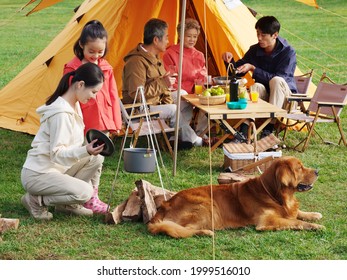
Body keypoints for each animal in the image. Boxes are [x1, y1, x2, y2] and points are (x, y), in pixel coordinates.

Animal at [148, 156, 324, 237]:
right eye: (299, 168)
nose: (317, 171)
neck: (274, 195)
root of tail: (164, 205)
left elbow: (297, 213)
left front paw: (314, 215)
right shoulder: (266, 221)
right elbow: (295, 221)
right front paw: (315, 226)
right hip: (206, 205)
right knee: (184, 230)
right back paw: (205, 232)